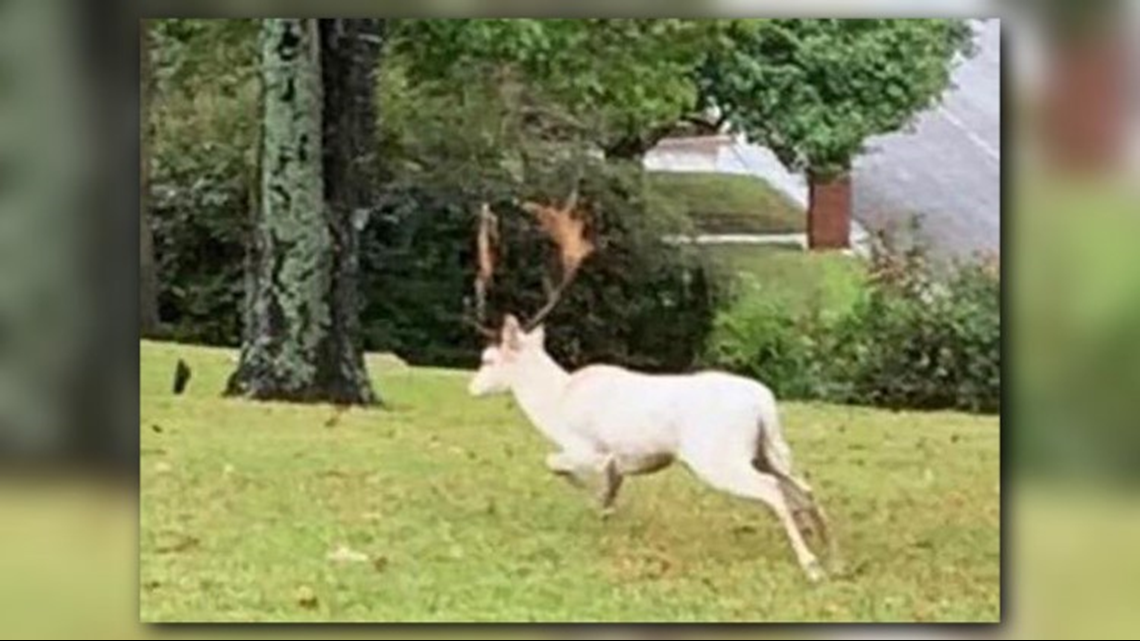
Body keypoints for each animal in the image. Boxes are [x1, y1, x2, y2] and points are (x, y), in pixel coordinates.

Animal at [464, 190, 837, 583]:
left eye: (488, 359)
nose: (472, 387)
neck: (556, 403)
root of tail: (762, 405)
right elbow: (607, 486)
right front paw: (604, 508)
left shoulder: (591, 447)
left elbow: (556, 463)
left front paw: (591, 495)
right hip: (773, 449)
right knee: (803, 487)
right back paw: (833, 556)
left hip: (717, 455)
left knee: (773, 490)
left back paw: (811, 565)